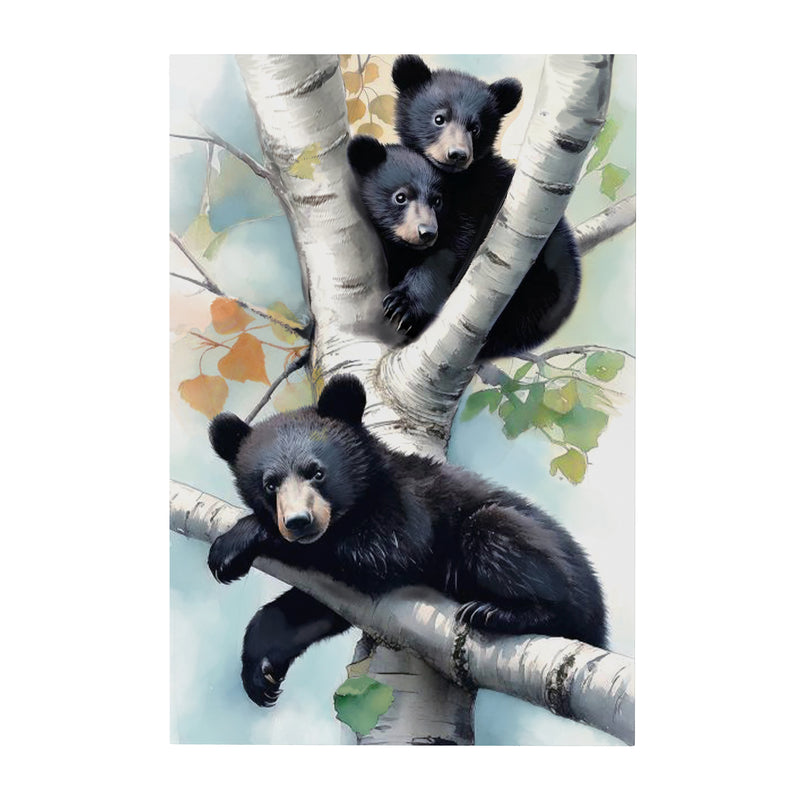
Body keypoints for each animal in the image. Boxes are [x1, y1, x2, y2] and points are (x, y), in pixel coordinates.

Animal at [207, 374, 607, 707]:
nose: (298, 523)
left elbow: (386, 552)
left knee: (501, 539)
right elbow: (311, 607)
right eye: (270, 483)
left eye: (317, 472)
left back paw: (497, 611)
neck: (364, 494)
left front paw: (236, 542)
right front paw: (260, 670)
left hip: (530, 552)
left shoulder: (410, 505)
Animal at [381, 54, 582, 359]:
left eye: (475, 128)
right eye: (439, 118)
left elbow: (451, 249)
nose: (457, 154)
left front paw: (404, 304)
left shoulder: (481, 200)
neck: (455, 182)